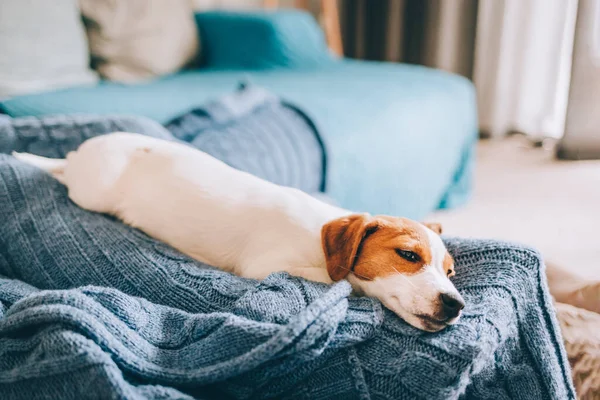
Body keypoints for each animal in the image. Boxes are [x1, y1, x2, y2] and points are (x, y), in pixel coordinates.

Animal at [12, 131, 464, 332]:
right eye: (408, 255)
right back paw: (37, 159)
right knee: (64, 167)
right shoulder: (268, 266)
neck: (318, 236)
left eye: (450, 272)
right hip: (92, 191)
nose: (457, 304)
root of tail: (98, 143)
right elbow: (343, 282)